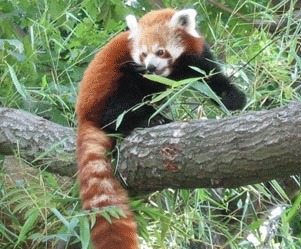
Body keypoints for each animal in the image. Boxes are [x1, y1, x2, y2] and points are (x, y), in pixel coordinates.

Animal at [76, 7, 245, 249]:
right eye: (143, 54)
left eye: (160, 51)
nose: (151, 67)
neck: (170, 71)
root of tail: (84, 115)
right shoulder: (136, 68)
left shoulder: (196, 57)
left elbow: (211, 79)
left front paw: (232, 98)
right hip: (109, 88)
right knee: (118, 108)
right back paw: (149, 120)